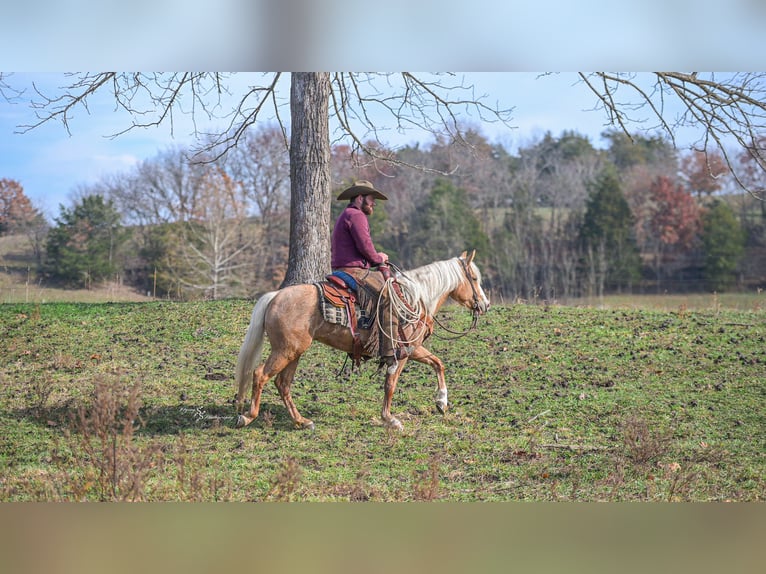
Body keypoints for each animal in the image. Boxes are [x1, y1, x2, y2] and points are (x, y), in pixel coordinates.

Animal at [234, 250, 490, 431]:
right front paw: (390, 419)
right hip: (285, 351)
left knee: (283, 384)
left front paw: (442, 402)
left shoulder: (413, 349)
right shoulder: (402, 351)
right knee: (260, 375)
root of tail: (275, 296)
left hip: (294, 352)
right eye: (474, 278)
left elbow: (438, 364)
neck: (414, 298)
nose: (485, 304)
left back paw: (301, 421)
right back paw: (247, 417)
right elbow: (391, 383)